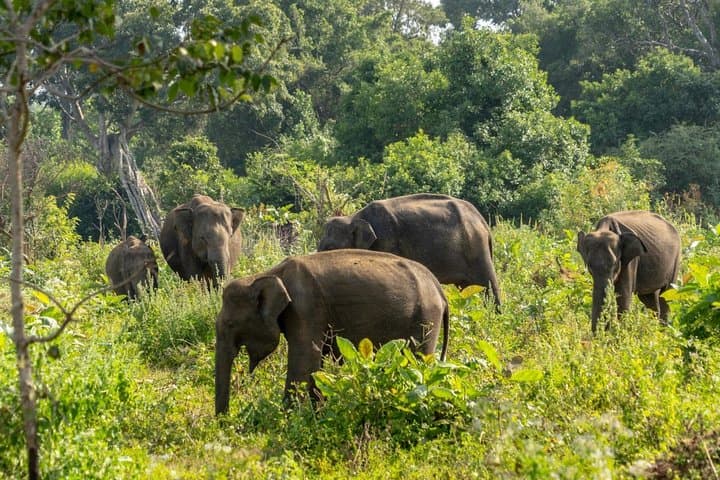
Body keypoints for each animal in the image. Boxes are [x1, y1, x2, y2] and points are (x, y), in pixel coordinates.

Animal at [214, 249, 449, 414]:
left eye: (231, 324)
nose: (225, 421)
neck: (268, 274)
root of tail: (439, 289)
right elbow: (315, 366)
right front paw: (316, 414)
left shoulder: (306, 308)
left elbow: (305, 359)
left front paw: (286, 418)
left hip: (425, 318)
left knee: (418, 360)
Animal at [317, 193, 501, 307]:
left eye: (330, 248)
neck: (354, 217)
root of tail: (482, 221)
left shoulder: (387, 240)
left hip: (476, 247)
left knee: (488, 285)